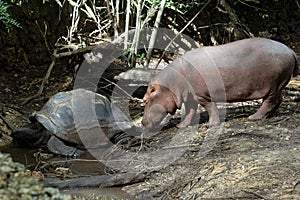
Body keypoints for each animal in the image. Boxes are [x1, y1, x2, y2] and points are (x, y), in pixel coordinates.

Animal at [142, 37, 298, 129]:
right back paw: (269, 115)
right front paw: (181, 126)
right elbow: (191, 111)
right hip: (279, 85)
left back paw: (254, 117)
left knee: (269, 101)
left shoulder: (201, 96)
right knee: (278, 99)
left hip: (273, 85)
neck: (170, 83)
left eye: (145, 100)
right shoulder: (190, 96)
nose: (142, 122)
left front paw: (210, 125)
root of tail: (290, 50)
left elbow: (210, 108)